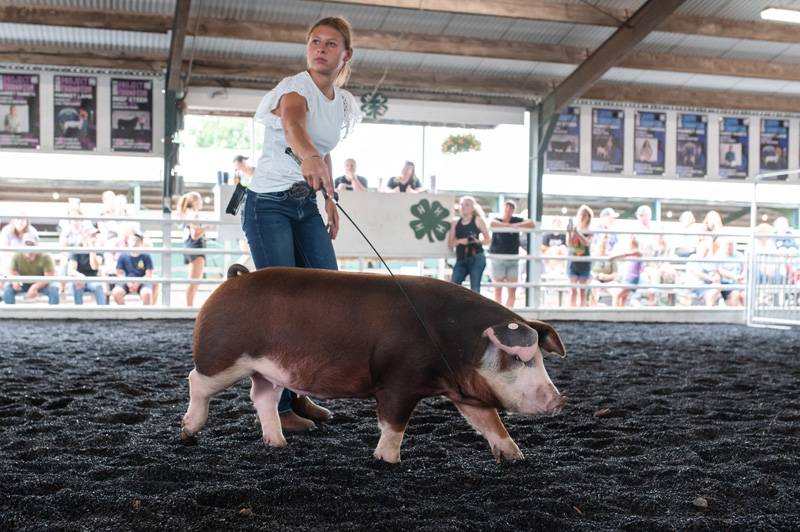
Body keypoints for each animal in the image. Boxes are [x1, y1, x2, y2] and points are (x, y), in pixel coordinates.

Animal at [181, 266, 564, 462]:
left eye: (540, 359)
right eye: (517, 358)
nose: (559, 400)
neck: (456, 345)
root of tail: (233, 279)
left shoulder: (467, 393)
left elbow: (490, 423)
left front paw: (516, 458)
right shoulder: (399, 383)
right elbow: (394, 424)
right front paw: (387, 461)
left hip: (269, 370)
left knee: (262, 397)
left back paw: (278, 444)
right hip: (222, 357)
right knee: (195, 380)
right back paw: (188, 431)